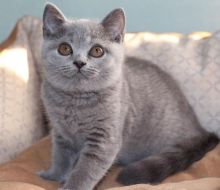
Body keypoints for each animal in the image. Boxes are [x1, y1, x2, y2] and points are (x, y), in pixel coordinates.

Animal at [37, 2, 218, 190]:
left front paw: (70, 185)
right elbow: (61, 157)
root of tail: (199, 129)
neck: (75, 100)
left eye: (97, 50)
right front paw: (53, 176)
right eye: (64, 48)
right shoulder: (60, 132)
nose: (79, 62)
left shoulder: (104, 139)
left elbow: (85, 171)